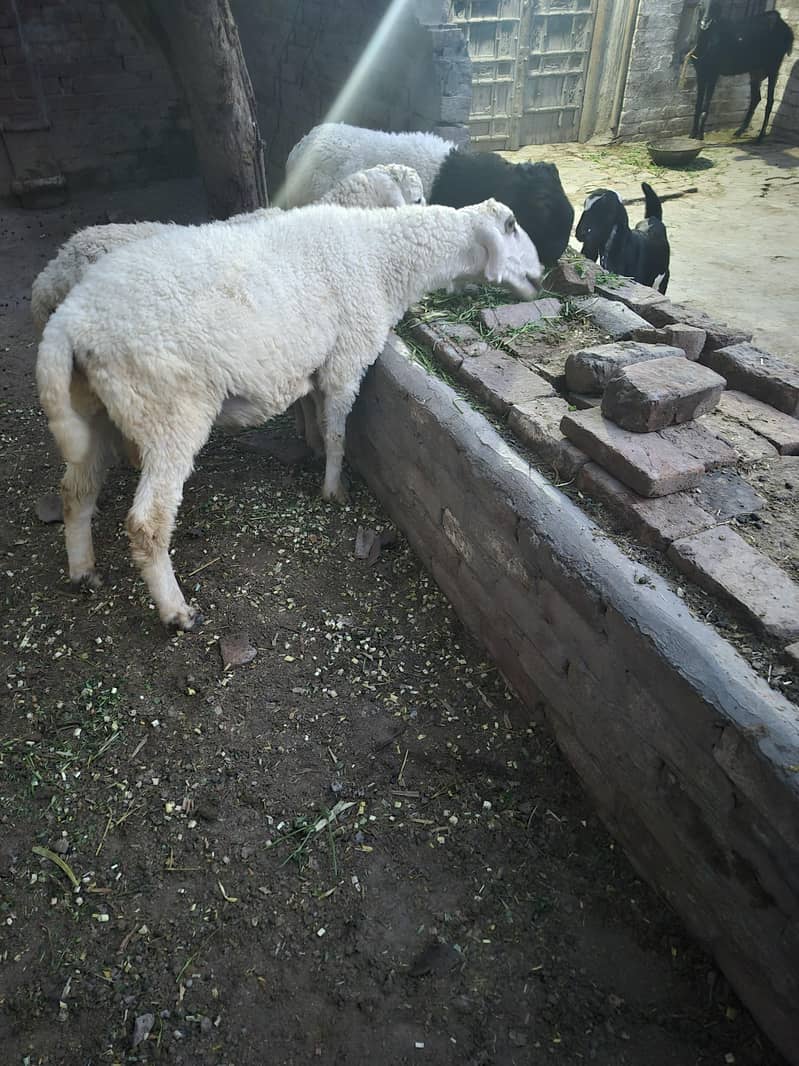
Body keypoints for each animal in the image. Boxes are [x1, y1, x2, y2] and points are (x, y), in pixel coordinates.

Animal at [36, 199, 542, 631]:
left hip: (95, 409)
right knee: (146, 523)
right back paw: (176, 611)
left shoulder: (313, 364)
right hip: (169, 410)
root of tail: (70, 321)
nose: (540, 275)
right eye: (513, 225)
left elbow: (314, 414)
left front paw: (312, 448)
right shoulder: (346, 360)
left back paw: (83, 571)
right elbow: (339, 433)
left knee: (74, 492)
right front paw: (334, 488)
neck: (382, 258)